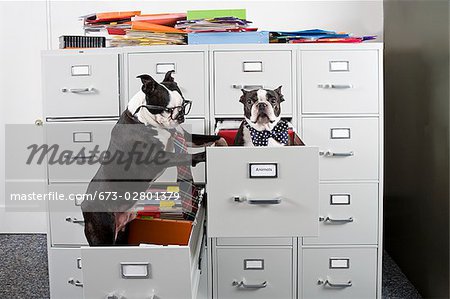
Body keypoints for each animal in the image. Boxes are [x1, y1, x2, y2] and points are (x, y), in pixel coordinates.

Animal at [81, 72, 225, 246]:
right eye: (167, 109)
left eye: (184, 105)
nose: (180, 116)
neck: (143, 118)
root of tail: (83, 205)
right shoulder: (160, 158)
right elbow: (185, 156)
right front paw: (203, 155)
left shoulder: (187, 137)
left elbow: (210, 137)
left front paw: (223, 141)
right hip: (103, 232)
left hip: (122, 232)